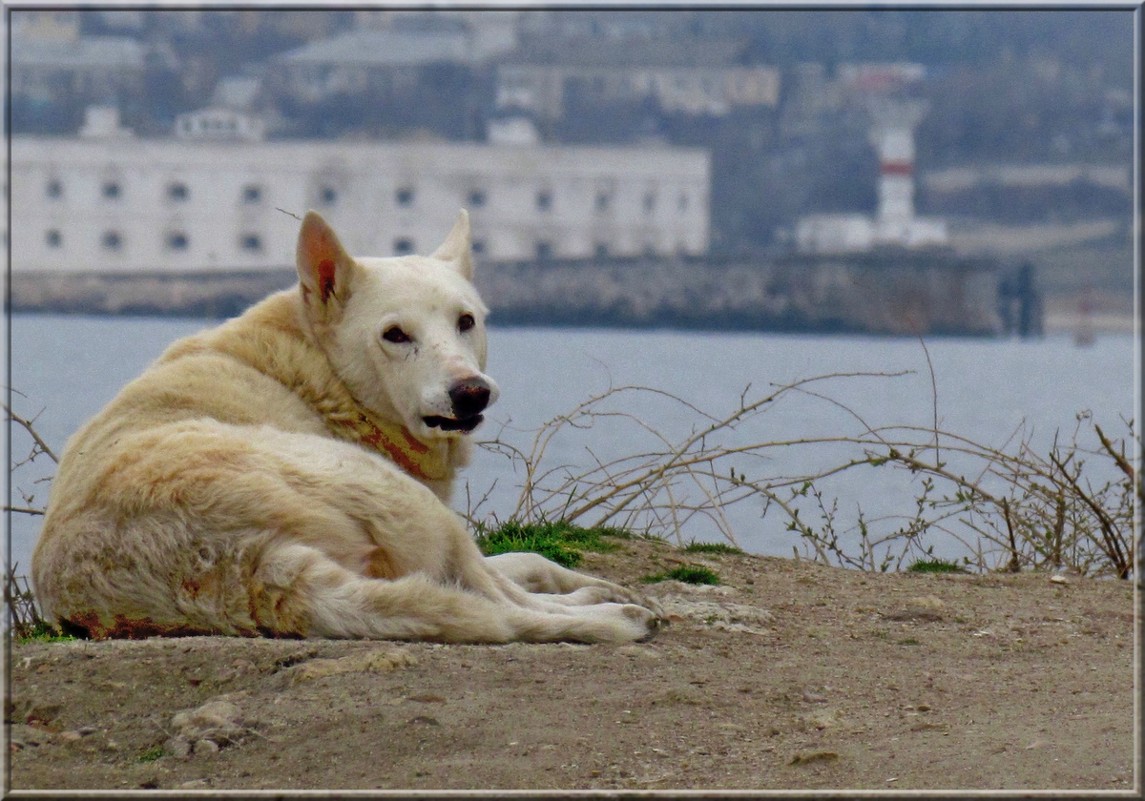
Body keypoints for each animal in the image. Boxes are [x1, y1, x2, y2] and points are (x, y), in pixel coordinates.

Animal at [29, 211, 664, 645]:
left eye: (466, 322)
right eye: (395, 335)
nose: (472, 392)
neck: (318, 370)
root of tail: (244, 561)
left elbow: (526, 559)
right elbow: (506, 571)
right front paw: (592, 592)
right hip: (392, 493)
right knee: (496, 604)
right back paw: (614, 615)